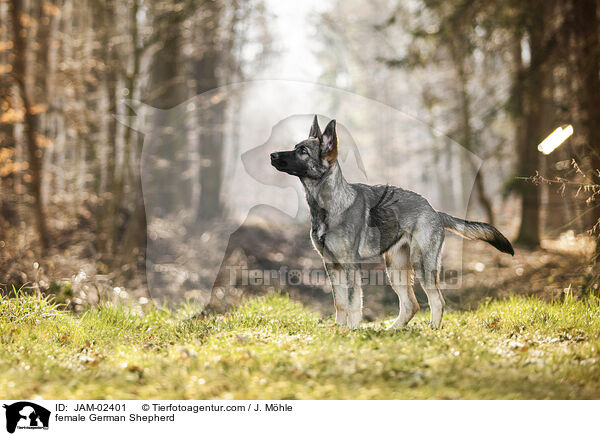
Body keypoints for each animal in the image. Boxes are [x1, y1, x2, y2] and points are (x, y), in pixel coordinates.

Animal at [270, 116, 512, 328]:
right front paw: (338, 330)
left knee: (437, 301)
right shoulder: (332, 265)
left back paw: (432, 330)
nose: (272, 155)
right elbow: (340, 303)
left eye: (303, 151)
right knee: (411, 304)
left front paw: (351, 331)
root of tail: (433, 210)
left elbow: (353, 302)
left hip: (421, 265)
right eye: (296, 147)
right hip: (395, 269)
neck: (329, 204)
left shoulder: (349, 265)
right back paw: (394, 330)